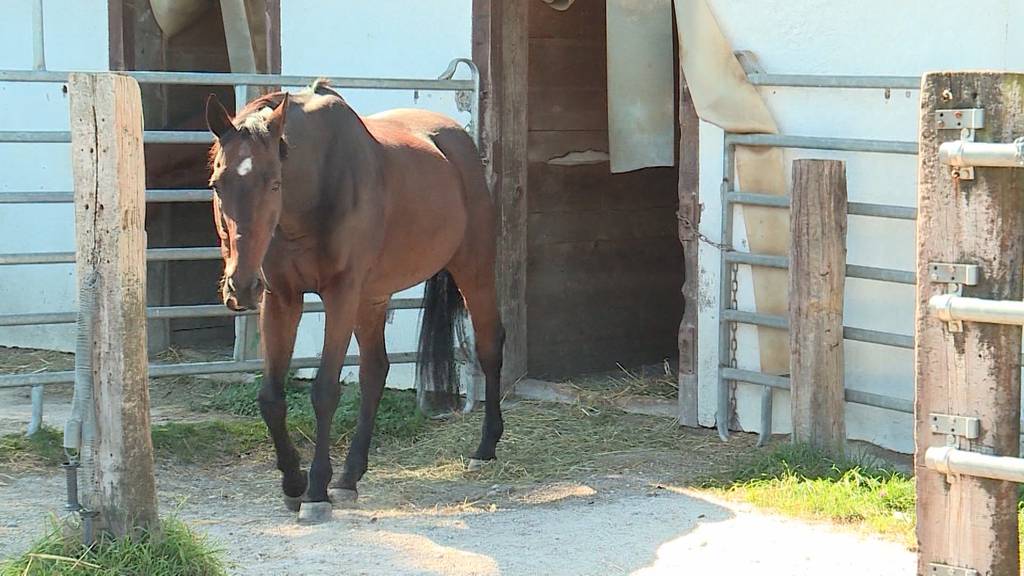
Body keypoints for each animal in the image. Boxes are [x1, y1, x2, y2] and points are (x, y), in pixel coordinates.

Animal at [204, 79, 503, 520]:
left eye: (274, 183)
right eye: (217, 185)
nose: (241, 286)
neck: (314, 192)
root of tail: (457, 140)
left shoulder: (340, 295)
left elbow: (325, 391)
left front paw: (315, 491)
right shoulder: (282, 299)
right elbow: (271, 397)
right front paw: (293, 483)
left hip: (473, 270)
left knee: (489, 347)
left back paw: (485, 447)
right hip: (373, 297)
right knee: (375, 371)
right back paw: (349, 477)